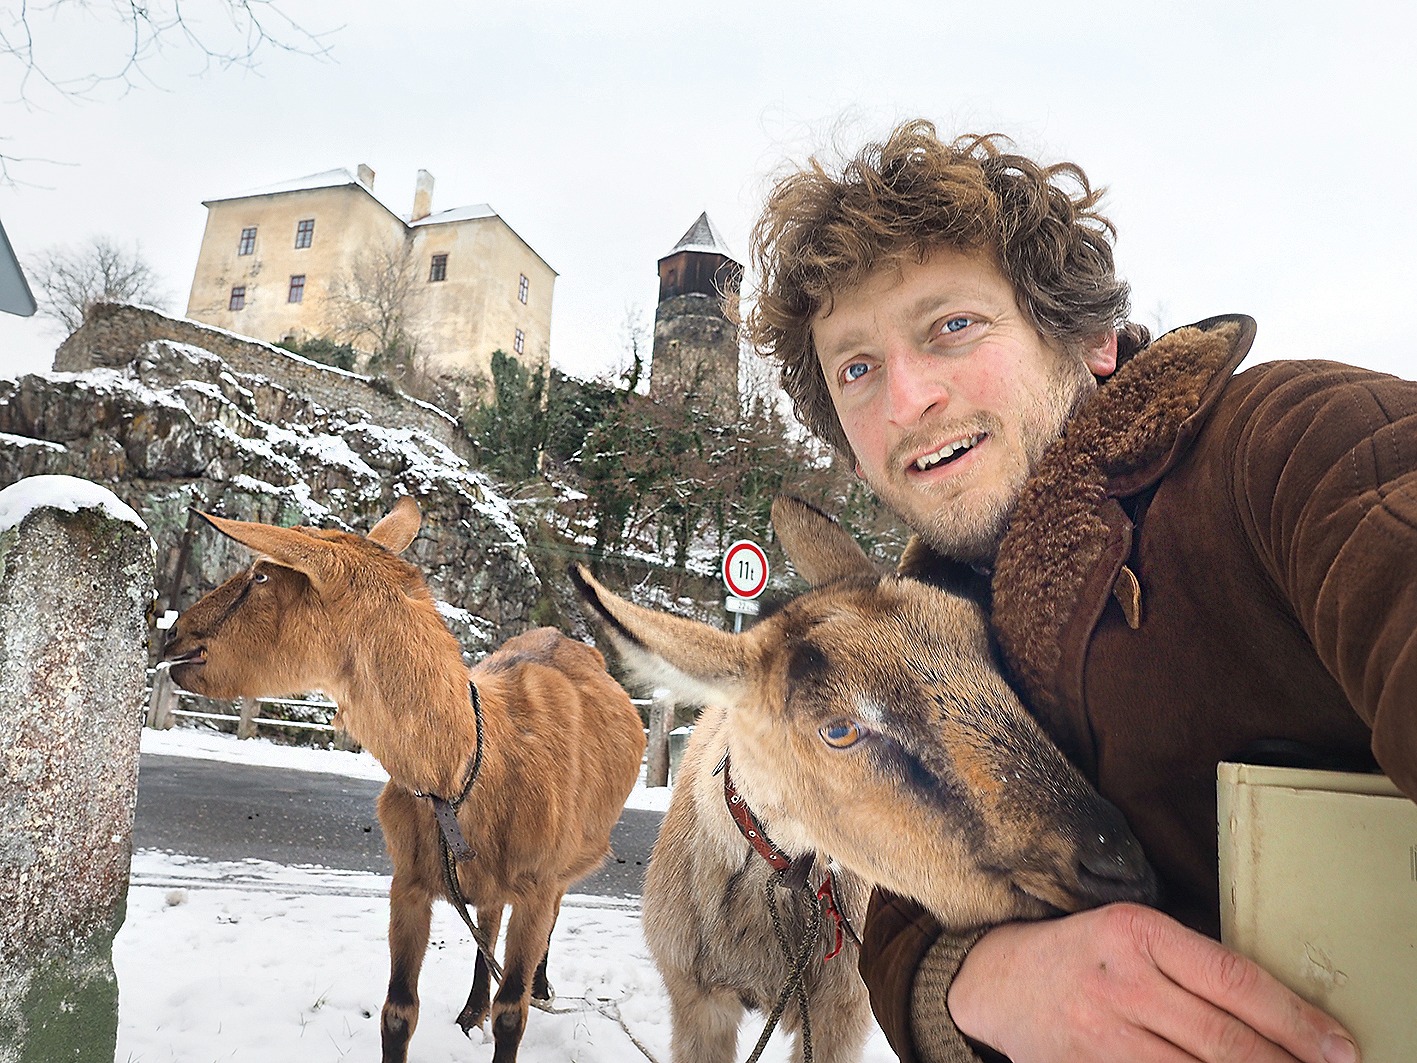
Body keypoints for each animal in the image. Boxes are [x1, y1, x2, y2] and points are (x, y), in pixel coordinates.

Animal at [162, 498, 646, 1063]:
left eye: (260, 574)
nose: (171, 633)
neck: (466, 771)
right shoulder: (408, 879)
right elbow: (398, 1011)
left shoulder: (537, 878)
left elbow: (512, 1012)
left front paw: (519, 998)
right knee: (487, 917)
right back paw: (469, 1011)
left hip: (565, 861)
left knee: (550, 911)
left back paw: (540, 984)